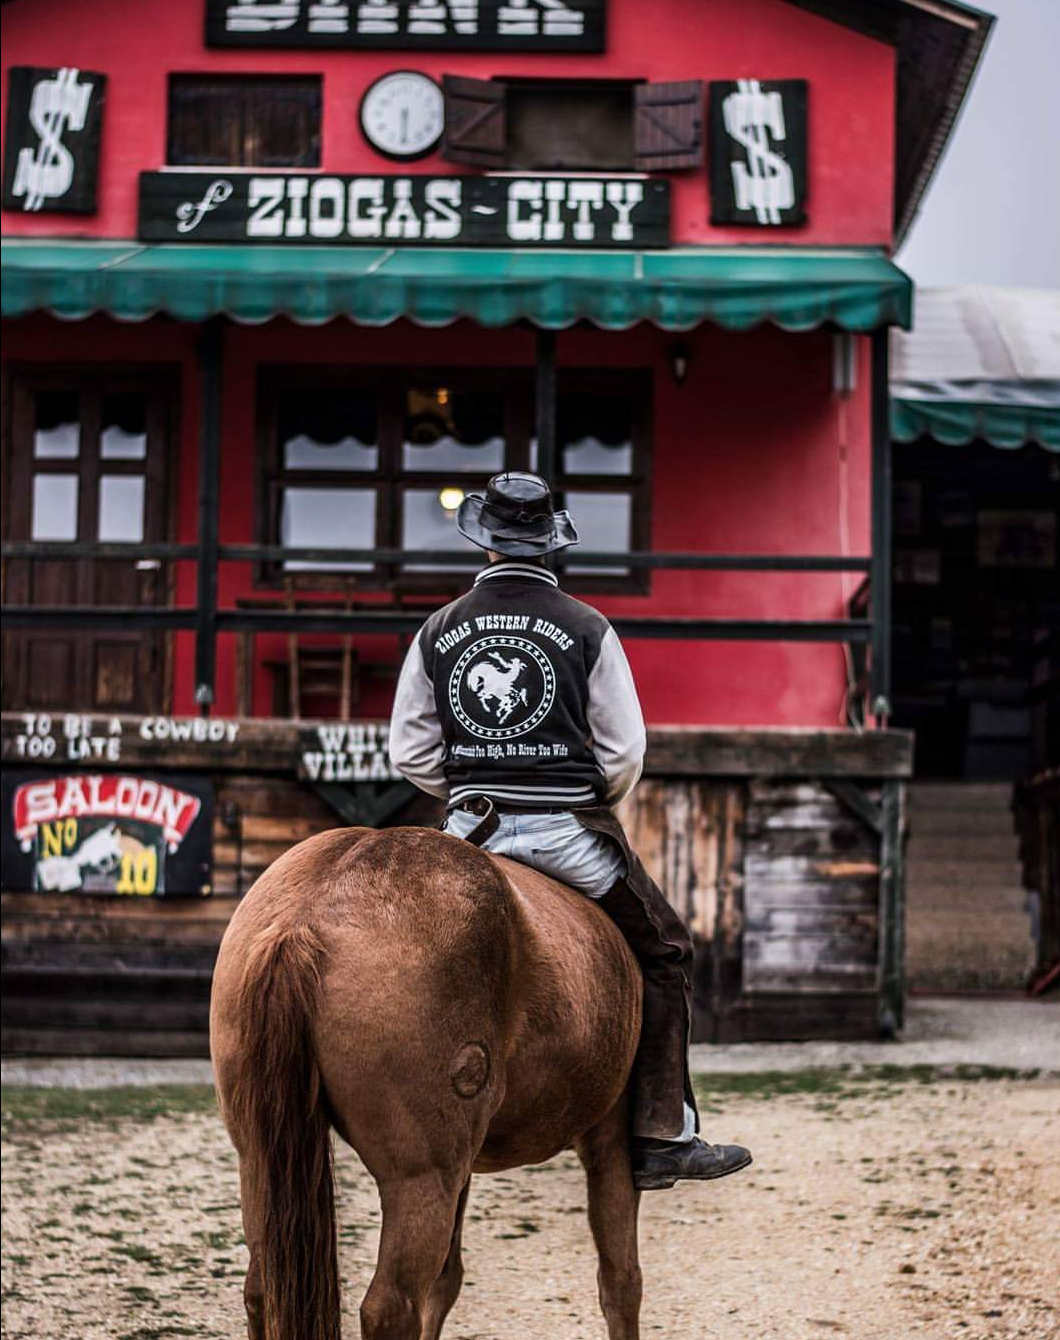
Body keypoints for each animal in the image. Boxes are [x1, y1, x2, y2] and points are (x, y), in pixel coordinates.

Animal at [206, 820, 637, 1340]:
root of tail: (309, 913)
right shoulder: (610, 1139)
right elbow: (620, 1280)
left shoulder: (467, 1161)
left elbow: (447, 1282)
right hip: (421, 1177)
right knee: (391, 1307)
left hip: (258, 1156)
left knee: (262, 1288)